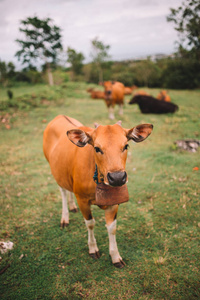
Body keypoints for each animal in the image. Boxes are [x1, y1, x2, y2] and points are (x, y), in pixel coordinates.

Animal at [43, 115, 153, 268]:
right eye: (97, 148)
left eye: (126, 146)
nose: (117, 177)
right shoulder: (82, 199)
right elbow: (90, 223)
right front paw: (93, 249)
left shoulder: (114, 202)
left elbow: (112, 227)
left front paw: (116, 257)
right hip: (54, 170)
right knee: (63, 191)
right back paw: (65, 218)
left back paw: (72, 207)